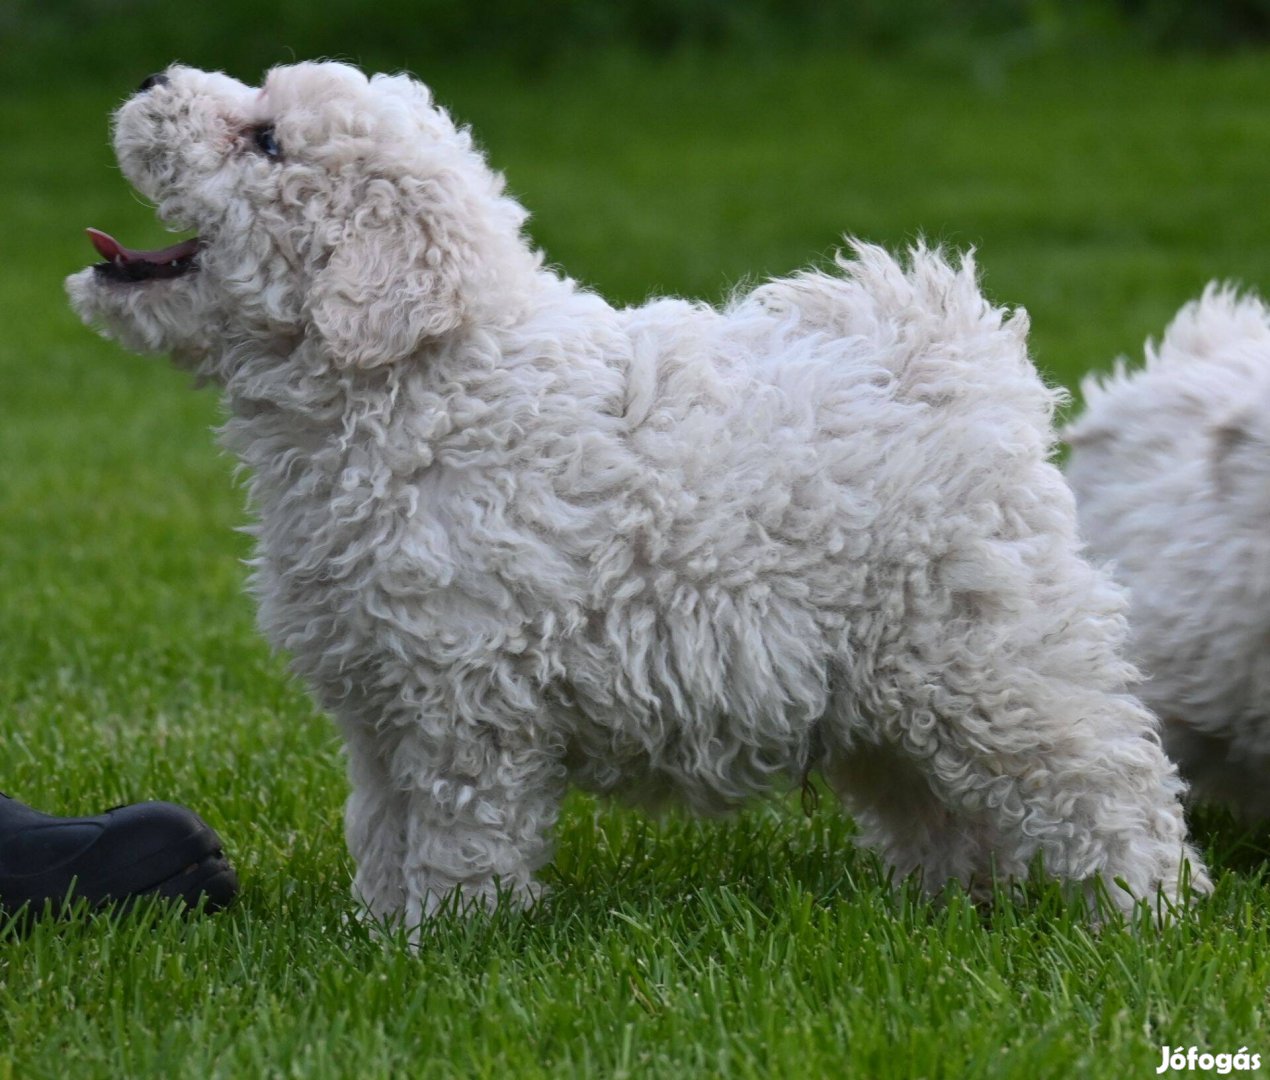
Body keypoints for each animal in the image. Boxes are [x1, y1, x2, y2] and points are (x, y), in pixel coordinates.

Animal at [64, 60, 1203, 924]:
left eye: (265, 141)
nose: (148, 79)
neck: (407, 385)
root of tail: (957, 360)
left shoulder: (463, 697)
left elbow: (458, 835)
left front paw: (444, 946)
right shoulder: (380, 695)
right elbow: (383, 827)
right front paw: (376, 937)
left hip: (997, 660)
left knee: (1103, 776)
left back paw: (1139, 912)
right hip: (887, 686)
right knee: (940, 801)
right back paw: (956, 908)